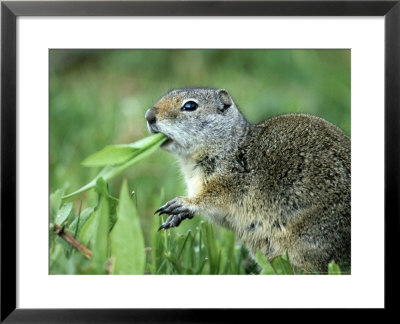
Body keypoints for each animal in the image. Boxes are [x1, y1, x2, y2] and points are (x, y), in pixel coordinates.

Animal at [146, 86, 350, 274]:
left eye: (190, 106)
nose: (149, 116)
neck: (231, 145)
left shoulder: (227, 182)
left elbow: (211, 200)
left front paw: (183, 204)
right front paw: (175, 216)